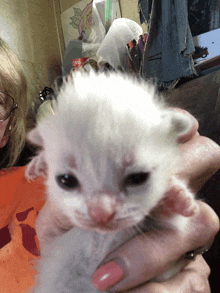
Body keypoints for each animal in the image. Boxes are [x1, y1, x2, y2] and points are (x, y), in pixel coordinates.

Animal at [26, 71, 199, 292]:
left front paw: (175, 196)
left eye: (137, 178)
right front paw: (39, 161)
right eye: (66, 180)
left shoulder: (168, 251)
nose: (101, 214)